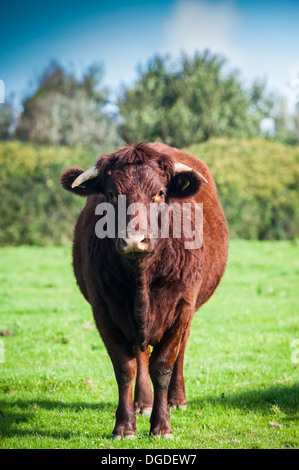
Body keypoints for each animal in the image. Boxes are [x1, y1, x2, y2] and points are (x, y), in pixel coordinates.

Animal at [61, 141, 230, 438]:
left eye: (160, 193)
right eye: (111, 194)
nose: (134, 240)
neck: (141, 279)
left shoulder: (181, 308)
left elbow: (163, 365)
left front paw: (161, 426)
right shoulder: (103, 311)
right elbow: (125, 367)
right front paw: (124, 425)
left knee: (179, 351)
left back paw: (177, 399)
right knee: (140, 356)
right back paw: (143, 403)